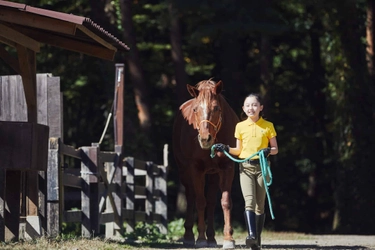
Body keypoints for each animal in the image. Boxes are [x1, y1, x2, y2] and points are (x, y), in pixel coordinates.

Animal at [174, 79, 241, 248]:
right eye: (195, 109)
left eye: (216, 108)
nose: (205, 139)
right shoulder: (196, 169)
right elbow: (200, 201)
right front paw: (201, 238)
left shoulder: (227, 168)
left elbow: (225, 202)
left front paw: (228, 238)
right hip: (184, 171)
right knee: (191, 197)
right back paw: (189, 235)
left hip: (214, 174)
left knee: (210, 202)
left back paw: (211, 238)